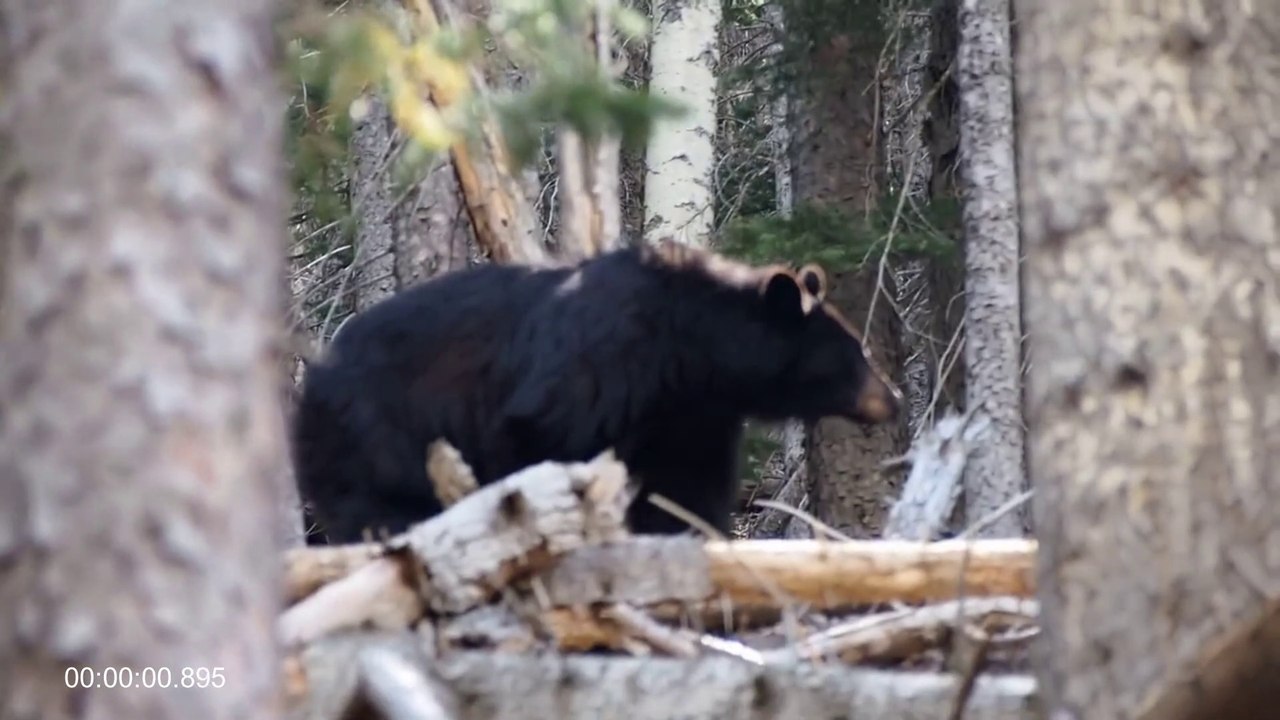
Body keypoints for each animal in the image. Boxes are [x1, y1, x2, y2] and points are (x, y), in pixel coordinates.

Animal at [291, 240, 901, 544]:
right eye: (856, 354)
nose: (892, 398)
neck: (689, 349)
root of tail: (311, 373)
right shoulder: (600, 369)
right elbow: (539, 440)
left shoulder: (693, 413)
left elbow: (686, 490)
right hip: (372, 432)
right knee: (377, 508)